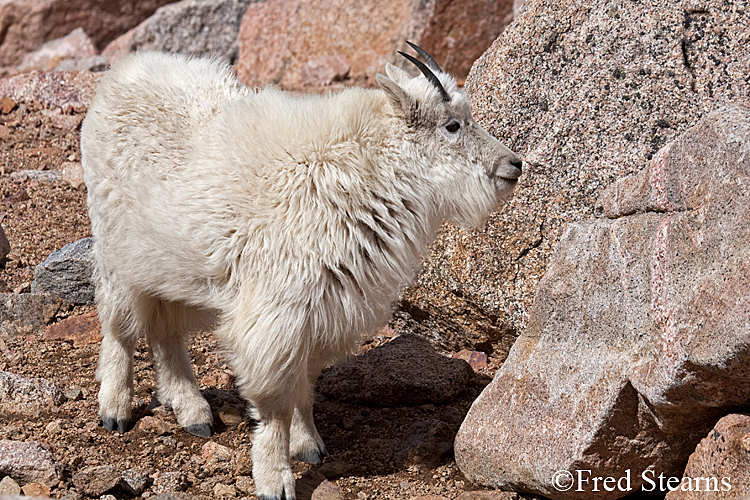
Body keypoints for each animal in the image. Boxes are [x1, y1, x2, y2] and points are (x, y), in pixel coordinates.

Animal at [81, 42, 522, 500]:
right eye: (452, 125)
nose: (514, 165)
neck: (366, 172)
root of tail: (124, 69)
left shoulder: (323, 313)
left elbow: (305, 386)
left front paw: (309, 445)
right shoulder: (277, 313)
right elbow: (275, 400)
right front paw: (275, 478)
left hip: (172, 264)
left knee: (166, 329)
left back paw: (192, 411)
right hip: (117, 248)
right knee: (120, 327)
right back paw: (115, 409)